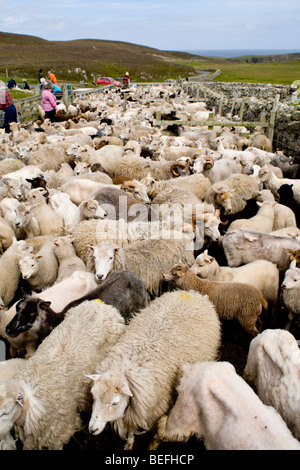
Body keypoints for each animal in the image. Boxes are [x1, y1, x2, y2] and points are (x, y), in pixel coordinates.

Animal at [84, 288, 220, 450]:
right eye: (94, 396)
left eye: (114, 403)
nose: (92, 429)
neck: (125, 367)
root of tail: (193, 294)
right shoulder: (136, 408)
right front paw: (129, 442)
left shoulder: (149, 409)